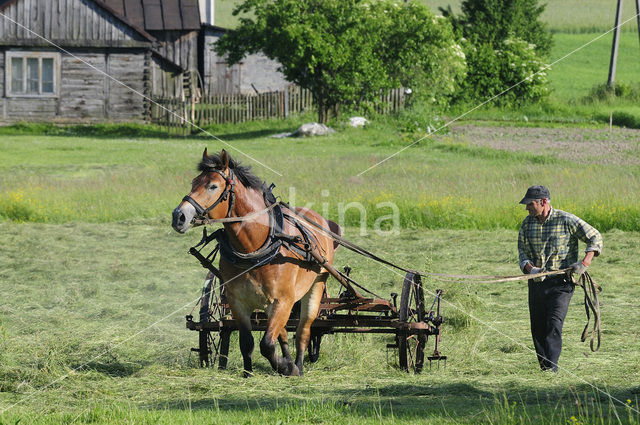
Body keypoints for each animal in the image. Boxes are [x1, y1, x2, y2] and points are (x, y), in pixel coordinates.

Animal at [170, 148, 340, 374]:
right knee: (282, 332)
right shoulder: (237, 302)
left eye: (213, 185)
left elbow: (266, 344)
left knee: (303, 331)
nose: (178, 216)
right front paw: (248, 372)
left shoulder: (282, 300)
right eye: (194, 182)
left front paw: (286, 367)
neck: (255, 249)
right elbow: (247, 342)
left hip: (316, 285)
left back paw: (298, 365)